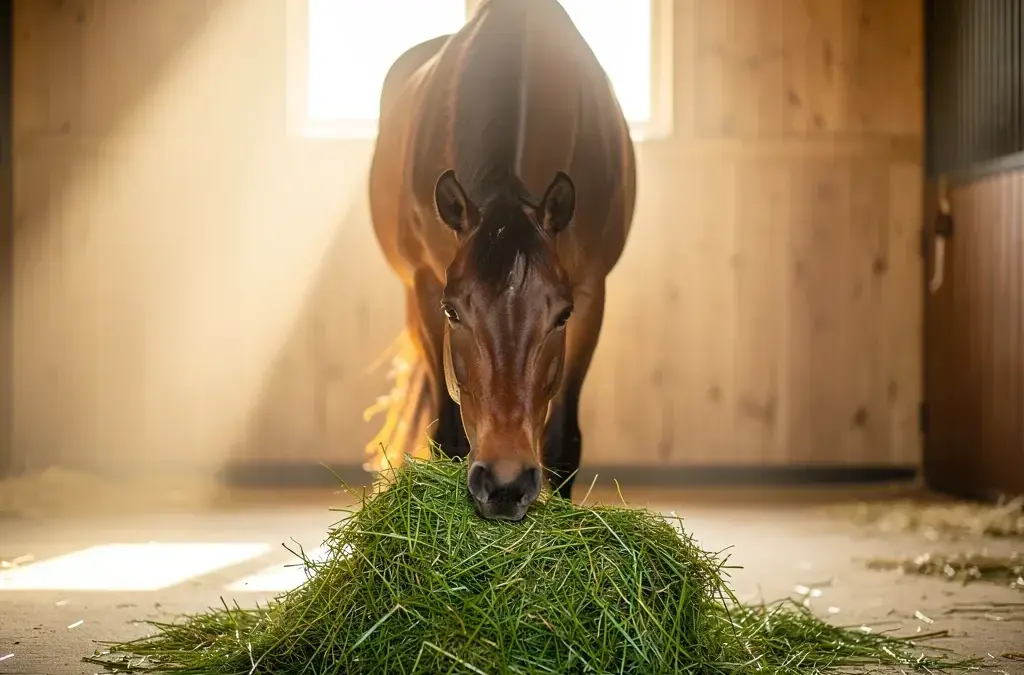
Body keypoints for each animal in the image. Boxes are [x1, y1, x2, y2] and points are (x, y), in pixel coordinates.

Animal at [364, 0, 636, 521]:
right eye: (453, 311)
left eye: (562, 316)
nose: (506, 482)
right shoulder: (427, 288)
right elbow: (448, 437)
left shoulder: (591, 291)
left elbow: (563, 443)